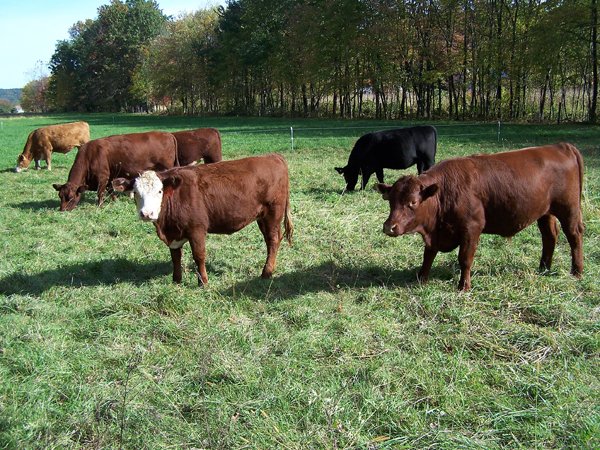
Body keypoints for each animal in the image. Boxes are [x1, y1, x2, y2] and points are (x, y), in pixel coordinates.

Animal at [112, 151, 292, 284]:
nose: (147, 213)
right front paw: (176, 281)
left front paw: (203, 282)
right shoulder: (174, 234)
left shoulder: (196, 229)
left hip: (273, 213)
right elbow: (175, 257)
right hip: (261, 217)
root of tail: (273, 156)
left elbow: (199, 256)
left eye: (159, 191)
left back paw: (266, 273)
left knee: (273, 240)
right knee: (270, 241)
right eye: (136, 192)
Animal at [378, 144, 584, 292]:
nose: (389, 226)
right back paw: (544, 268)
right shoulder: (435, 233)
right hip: (545, 212)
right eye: (390, 201)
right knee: (549, 237)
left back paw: (576, 272)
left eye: (412, 202)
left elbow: (464, 258)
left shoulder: (472, 228)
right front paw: (421, 279)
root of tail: (561, 146)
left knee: (574, 236)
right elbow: (428, 255)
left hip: (569, 210)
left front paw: (464, 286)